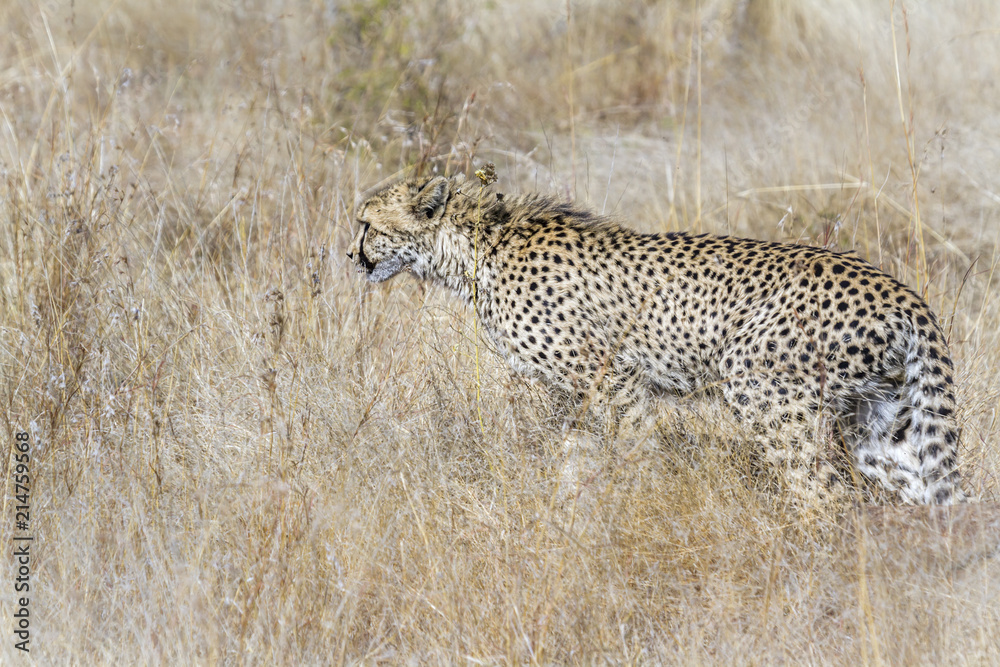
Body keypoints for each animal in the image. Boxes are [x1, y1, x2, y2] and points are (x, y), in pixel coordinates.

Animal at [347, 173, 966, 506]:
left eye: (367, 224)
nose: (350, 255)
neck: (474, 249)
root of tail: (900, 291)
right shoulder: (576, 395)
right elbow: (573, 456)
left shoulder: (613, 375)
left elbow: (632, 448)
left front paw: (634, 502)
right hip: (879, 422)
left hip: (762, 387)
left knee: (824, 493)